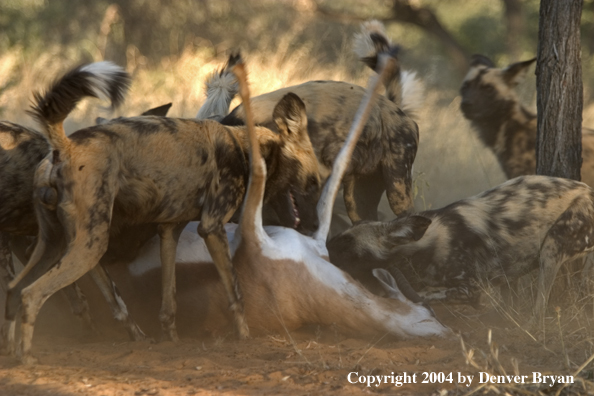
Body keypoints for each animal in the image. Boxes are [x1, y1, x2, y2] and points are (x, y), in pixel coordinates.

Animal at [5, 59, 320, 366]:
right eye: (314, 170)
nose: (314, 224)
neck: (248, 149)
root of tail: (66, 146)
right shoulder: (212, 227)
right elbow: (236, 292)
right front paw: (244, 336)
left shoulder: (169, 231)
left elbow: (169, 300)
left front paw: (171, 338)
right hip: (89, 247)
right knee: (31, 295)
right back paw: (27, 358)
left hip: (55, 244)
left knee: (14, 290)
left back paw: (14, 351)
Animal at [326, 176, 592, 328]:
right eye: (338, 237)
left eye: (346, 242)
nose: (325, 247)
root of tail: (587, 189)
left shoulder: (473, 289)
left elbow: (430, 295)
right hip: (514, 271)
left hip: (551, 248)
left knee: (540, 305)